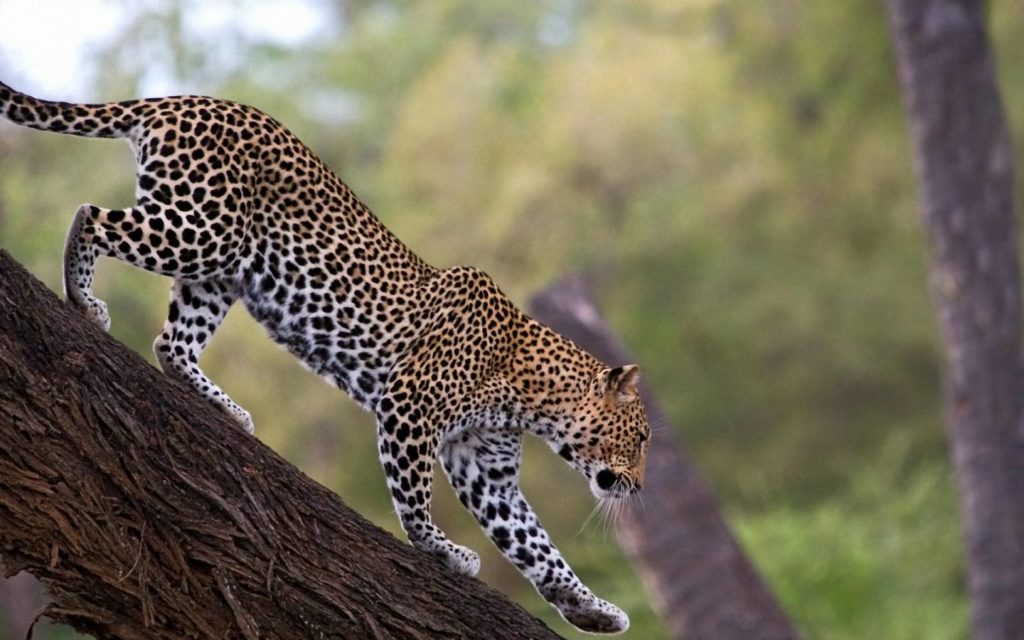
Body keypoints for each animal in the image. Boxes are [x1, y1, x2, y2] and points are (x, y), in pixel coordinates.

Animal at [0, 80, 651, 634]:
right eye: (642, 437)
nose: (639, 487)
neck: (530, 394)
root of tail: (185, 98)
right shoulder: (410, 407)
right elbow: (415, 498)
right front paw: (441, 550)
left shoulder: (484, 467)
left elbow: (536, 544)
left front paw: (591, 609)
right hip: (201, 229)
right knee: (90, 216)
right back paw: (84, 301)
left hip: (220, 270)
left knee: (171, 343)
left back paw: (225, 409)